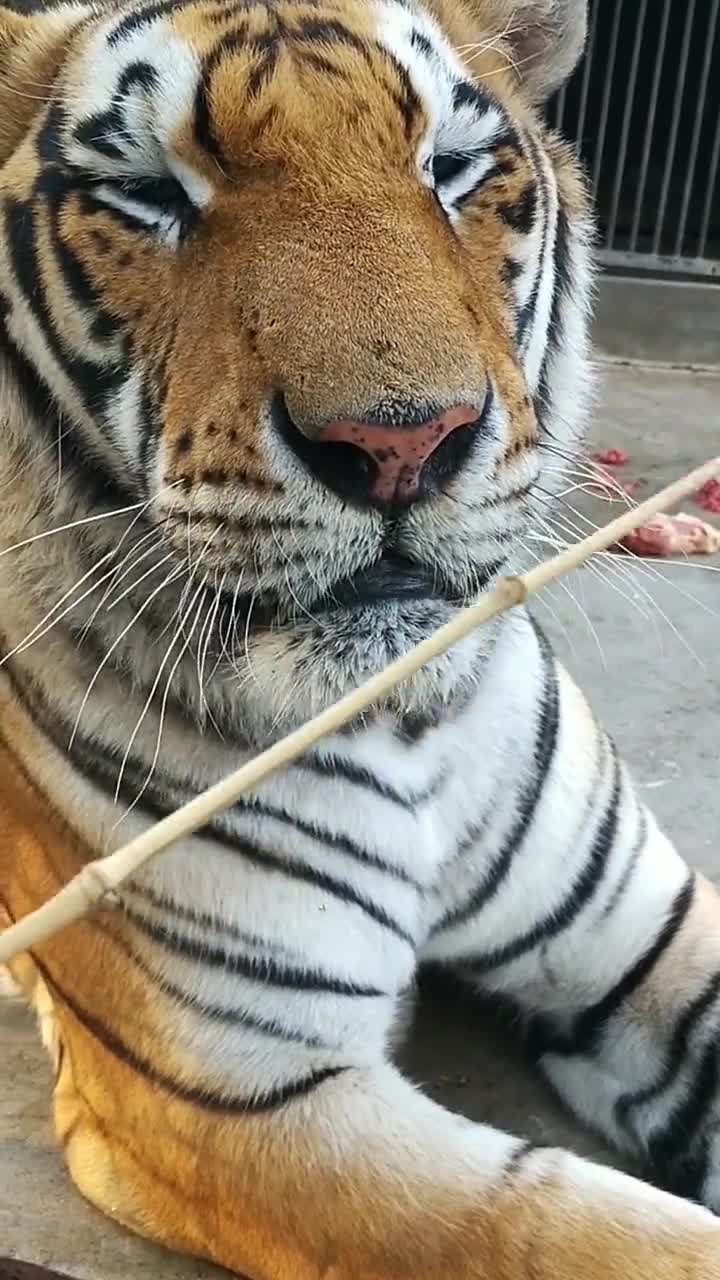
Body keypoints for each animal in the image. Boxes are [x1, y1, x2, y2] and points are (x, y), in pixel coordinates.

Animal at [1, 0, 719, 1275]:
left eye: (452, 168)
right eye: (149, 193)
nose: (401, 445)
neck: (414, 723)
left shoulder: (646, 931)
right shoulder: (245, 1092)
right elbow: (588, 1231)